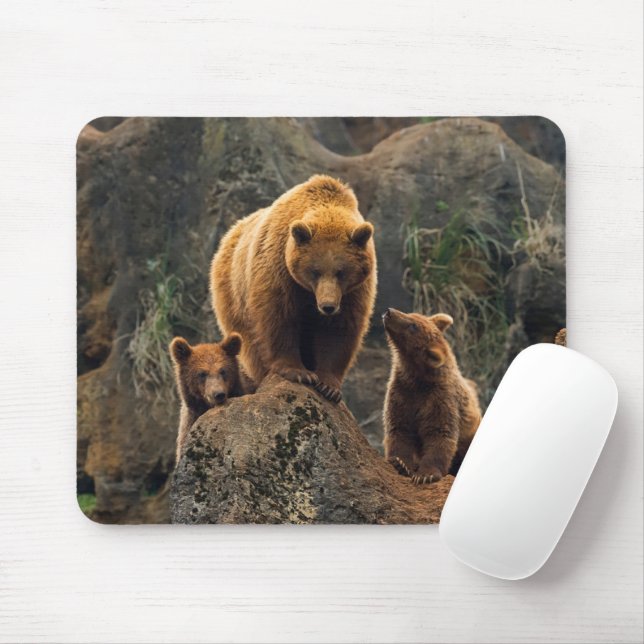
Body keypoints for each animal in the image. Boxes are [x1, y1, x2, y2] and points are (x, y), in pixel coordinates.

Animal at [210, 175, 377, 403]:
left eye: (341, 272)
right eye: (315, 271)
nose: (327, 306)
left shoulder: (353, 292)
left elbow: (339, 329)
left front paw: (328, 385)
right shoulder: (279, 269)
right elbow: (279, 317)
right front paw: (298, 372)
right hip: (233, 295)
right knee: (250, 344)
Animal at [382, 308, 481, 484]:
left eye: (413, 326)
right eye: (412, 314)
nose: (389, 312)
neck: (418, 380)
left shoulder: (440, 400)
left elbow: (439, 434)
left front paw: (425, 475)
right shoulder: (401, 394)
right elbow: (398, 429)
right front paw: (400, 463)